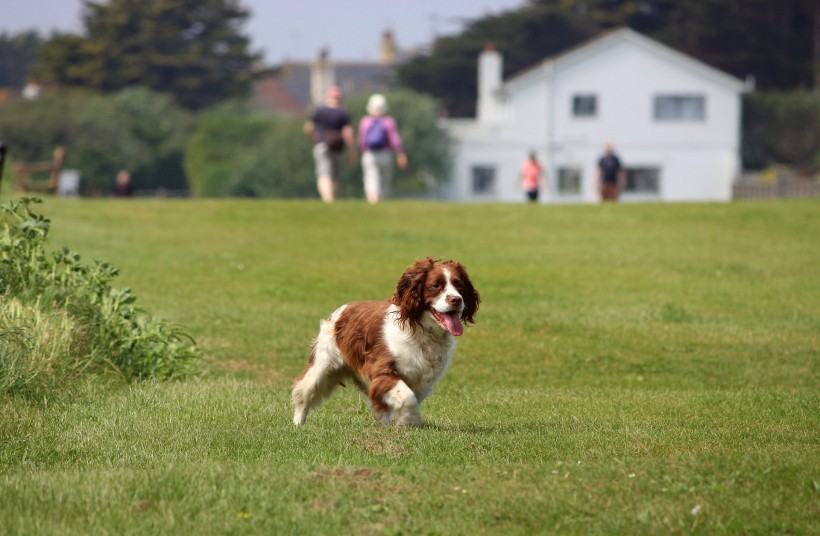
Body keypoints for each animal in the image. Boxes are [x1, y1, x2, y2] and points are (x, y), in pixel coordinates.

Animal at [292, 258, 478, 428]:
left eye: (459, 285)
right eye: (436, 285)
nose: (457, 299)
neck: (423, 332)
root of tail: (342, 309)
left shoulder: (422, 380)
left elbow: (407, 399)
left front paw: (404, 424)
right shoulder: (383, 372)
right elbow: (408, 397)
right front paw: (410, 422)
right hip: (323, 366)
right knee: (303, 393)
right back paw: (298, 423)